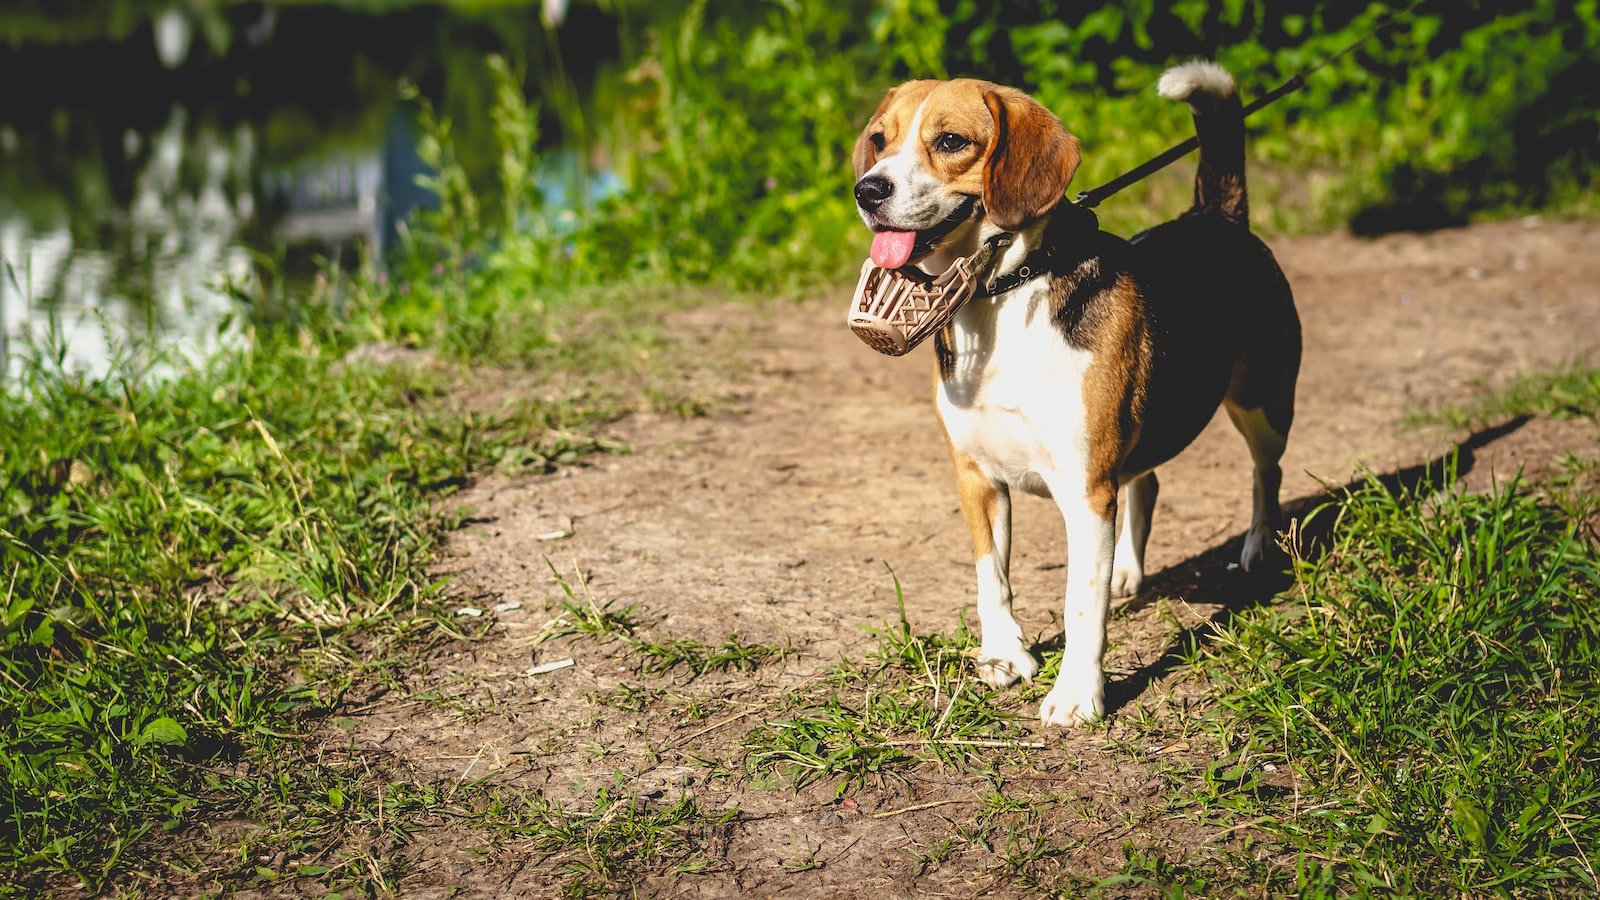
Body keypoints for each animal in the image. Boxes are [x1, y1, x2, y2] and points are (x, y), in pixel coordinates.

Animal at [851, 61, 1299, 720]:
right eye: (880, 140)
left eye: (952, 141)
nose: (868, 191)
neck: (1002, 297)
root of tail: (1214, 216)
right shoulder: (976, 476)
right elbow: (992, 578)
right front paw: (1005, 656)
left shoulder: (1085, 490)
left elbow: (1082, 601)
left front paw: (1077, 695)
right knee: (1148, 483)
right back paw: (1129, 571)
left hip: (1262, 405)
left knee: (1266, 474)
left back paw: (1258, 548)